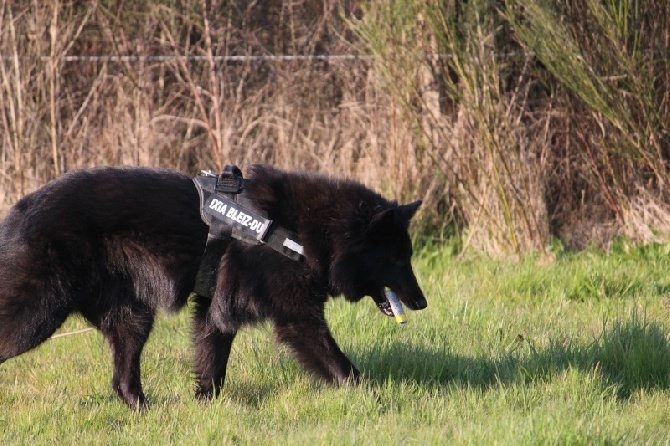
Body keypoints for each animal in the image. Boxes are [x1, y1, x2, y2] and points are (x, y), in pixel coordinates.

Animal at [0, 165, 428, 408]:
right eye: (395, 259)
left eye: (407, 257)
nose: (422, 303)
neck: (301, 233)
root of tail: (20, 209)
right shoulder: (298, 319)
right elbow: (342, 367)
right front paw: (380, 402)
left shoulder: (214, 311)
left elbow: (212, 362)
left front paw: (206, 407)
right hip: (36, 314)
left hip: (133, 318)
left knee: (122, 381)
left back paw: (149, 412)